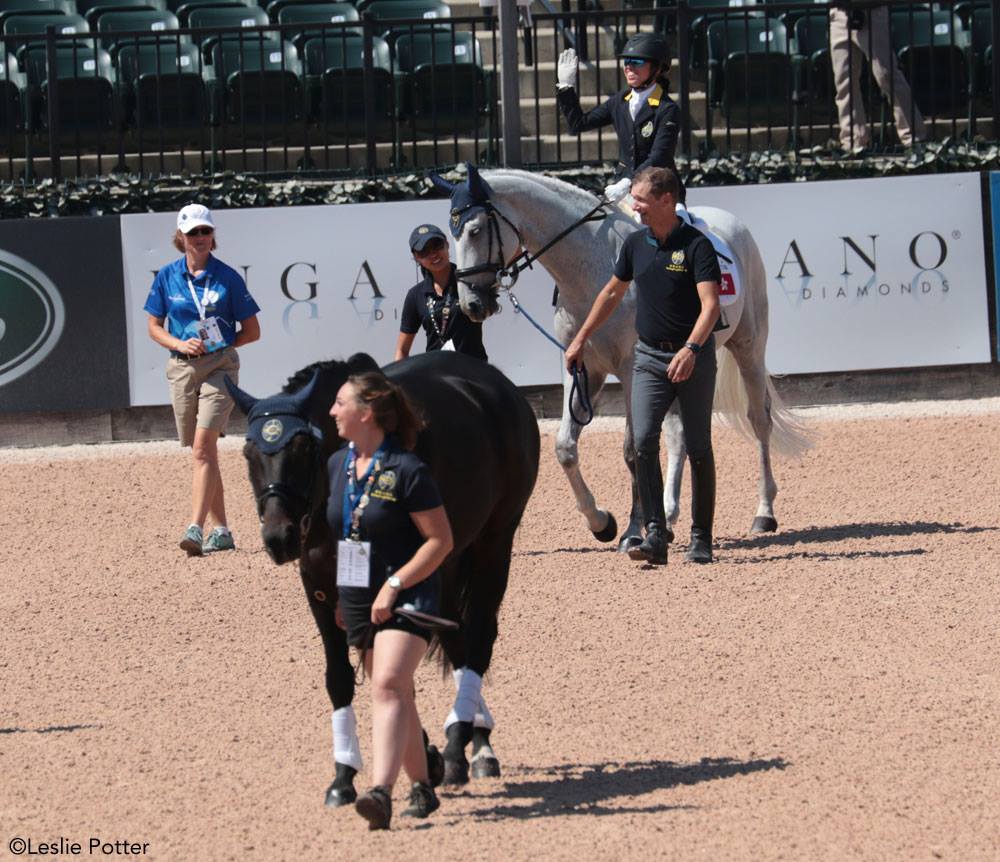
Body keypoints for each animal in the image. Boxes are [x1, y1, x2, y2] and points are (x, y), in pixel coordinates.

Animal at [227, 350, 540, 804]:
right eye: (250, 453)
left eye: (303, 447)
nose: (278, 538)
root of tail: (496, 384)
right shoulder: (321, 587)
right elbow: (342, 677)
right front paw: (345, 776)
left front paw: (426, 755)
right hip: (447, 565)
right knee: (457, 639)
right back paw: (473, 739)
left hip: (493, 542)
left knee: (479, 636)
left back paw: (465, 749)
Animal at [434, 165, 808, 552]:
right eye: (452, 231)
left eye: (475, 230)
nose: (471, 305)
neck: (592, 268)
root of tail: (733, 224)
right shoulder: (581, 368)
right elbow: (565, 446)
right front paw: (602, 522)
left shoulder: (630, 370)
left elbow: (632, 449)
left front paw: (632, 531)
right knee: (678, 434)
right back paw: (670, 514)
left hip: (748, 345)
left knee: (759, 420)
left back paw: (764, 512)